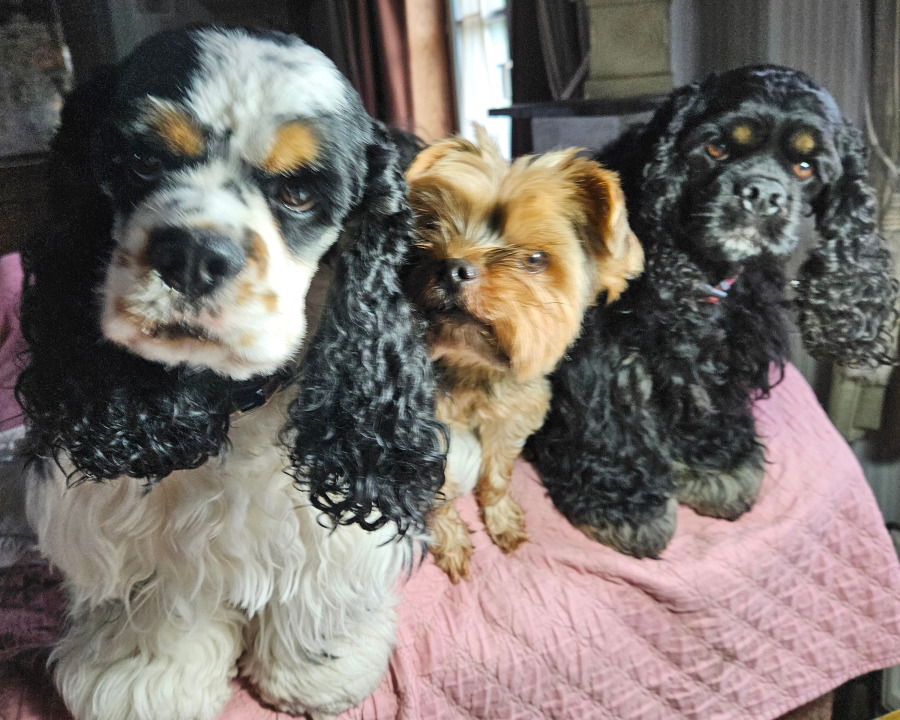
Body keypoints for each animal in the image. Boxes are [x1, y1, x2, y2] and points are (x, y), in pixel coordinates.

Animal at [15, 27, 445, 720]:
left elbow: (317, 584)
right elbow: (156, 601)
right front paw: (139, 681)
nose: (194, 254)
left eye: (299, 192)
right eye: (141, 161)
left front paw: (318, 670)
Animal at [403, 129, 643, 581]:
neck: (471, 366)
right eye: (430, 228)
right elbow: (441, 490)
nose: (453, 267)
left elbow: (497, 475)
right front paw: (451, 538)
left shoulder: (512, 414)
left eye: (535, 260)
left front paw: (500, 518)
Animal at [527, 65, 899, 559]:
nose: (762, 194)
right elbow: (606, 417)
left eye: (805, 167)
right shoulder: (599, 350)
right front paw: (623, 501)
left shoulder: (730, 338)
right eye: (715, 147)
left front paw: (715, 463)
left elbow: (709, 399)